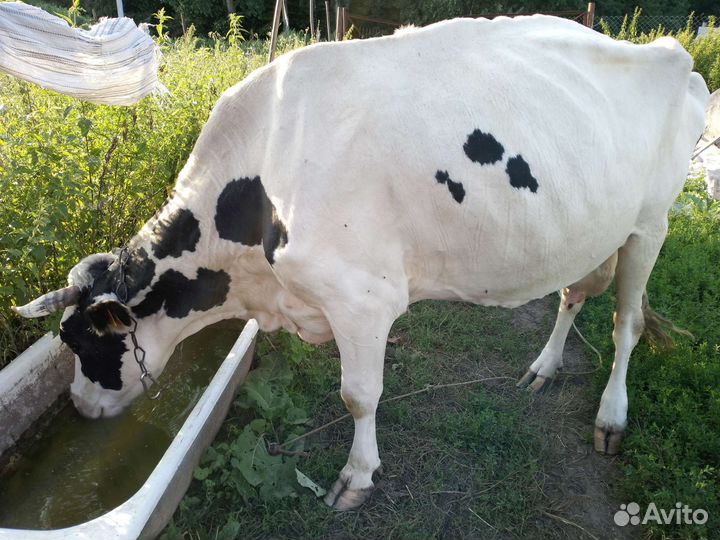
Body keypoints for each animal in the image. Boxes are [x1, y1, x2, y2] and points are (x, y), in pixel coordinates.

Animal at [14, 15, 709, 510]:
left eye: (85, 344)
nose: (79, 406)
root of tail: (672, 53)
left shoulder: (361, 300)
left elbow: (358, 396)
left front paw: (356, 478)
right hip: (592, 228)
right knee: (573, 293)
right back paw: (543, 366)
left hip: (651, 224)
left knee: (627, 324)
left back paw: (611, 418)